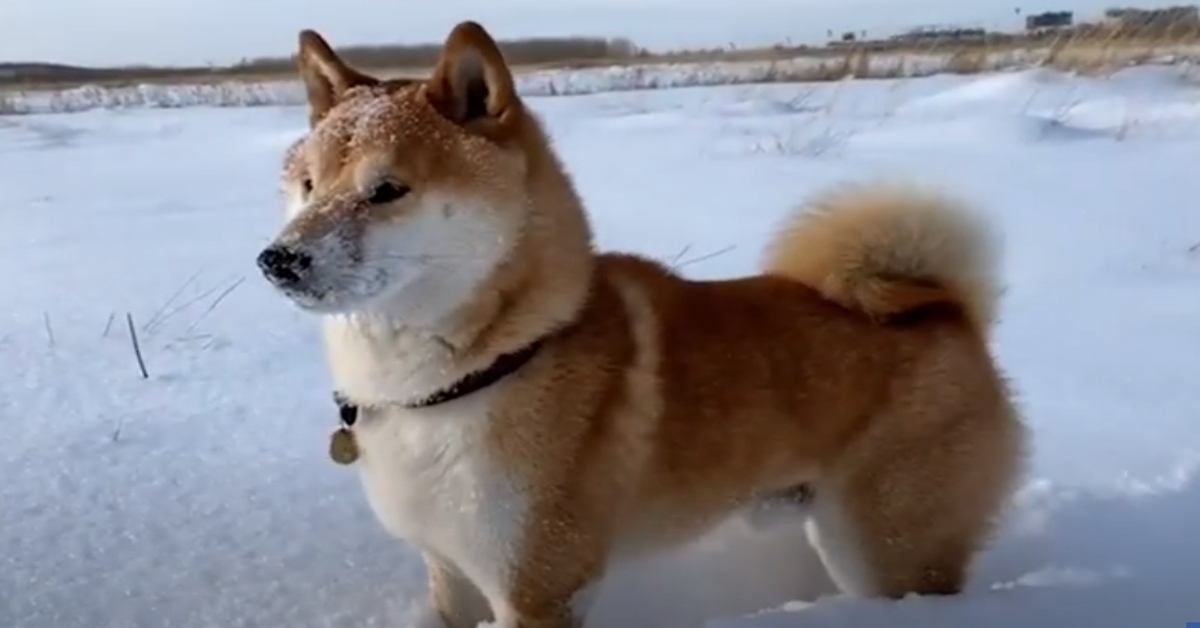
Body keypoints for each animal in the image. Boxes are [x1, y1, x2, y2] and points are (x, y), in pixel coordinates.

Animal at [258, 20, 1027, 628]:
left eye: (387, 190)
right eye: (307, 185)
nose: (278, 260)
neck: (473, 372)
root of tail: (950, 311)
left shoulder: (538, 587)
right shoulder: (451, 573)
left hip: (887, 550)